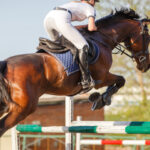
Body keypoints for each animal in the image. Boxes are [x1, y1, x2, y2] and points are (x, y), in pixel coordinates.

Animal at [0, 8, 150, 137]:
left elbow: (118, 81)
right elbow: (121, 80)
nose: (145, 66)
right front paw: (102, 99)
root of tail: (5, 64)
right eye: (148, 39)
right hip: (23, 108)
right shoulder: (101, 77)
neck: (103, 39)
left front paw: (99, 98)